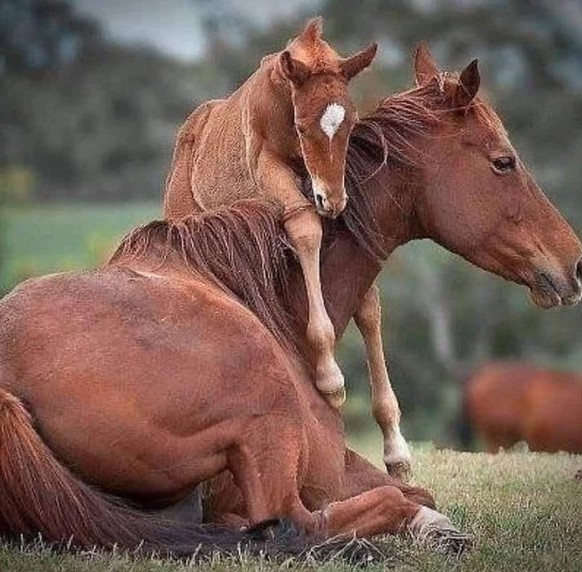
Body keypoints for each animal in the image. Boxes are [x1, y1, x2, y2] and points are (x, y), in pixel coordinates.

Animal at [1, 49, 582, 556]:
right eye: (504, 162)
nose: (574, 262)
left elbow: (416, 490)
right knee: (296, 521)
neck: (275, 305)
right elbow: (400, 495)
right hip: (268, 414)